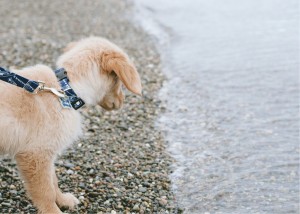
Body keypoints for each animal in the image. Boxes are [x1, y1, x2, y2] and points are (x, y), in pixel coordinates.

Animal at [0, 36, 142, 212]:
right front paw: (53, 211)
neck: (66, 90)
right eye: (118, 81)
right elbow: (46, 191)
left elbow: (53, 182)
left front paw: (63, 200)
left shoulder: (47, 153)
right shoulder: (36, 154)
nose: (122, 101)